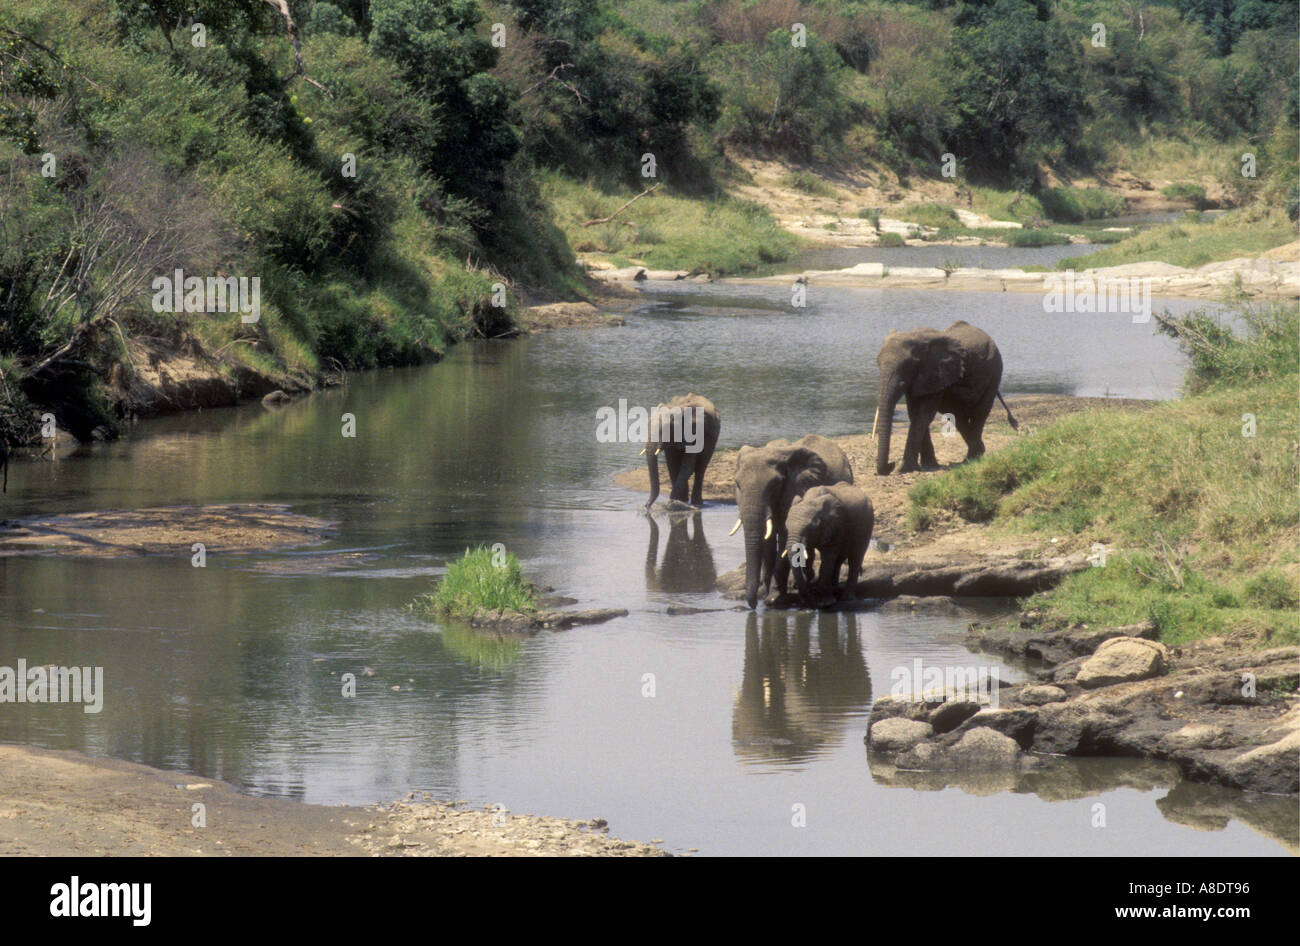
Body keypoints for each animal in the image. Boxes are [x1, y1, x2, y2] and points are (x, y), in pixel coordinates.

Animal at [733, 434, 852, 610]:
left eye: (775, 484)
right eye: (737, 484)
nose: (753, 606)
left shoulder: (793, 489)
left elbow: (784, 538)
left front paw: (774, 599)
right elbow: (768, 542)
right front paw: (766, 596)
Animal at [873, 320, 1013, 475]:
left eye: (908, 365)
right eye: (877, 362)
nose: (890, 465)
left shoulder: (936, 374)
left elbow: (923, 415)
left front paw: (903, 469)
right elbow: (914, 413)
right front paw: (928, 465)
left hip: (994, 374)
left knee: (980, 413)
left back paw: (972, 458)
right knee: (958, 416)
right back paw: (974, 454)